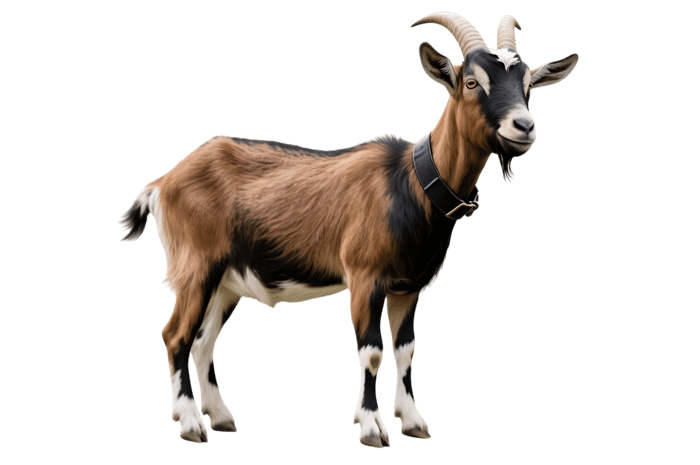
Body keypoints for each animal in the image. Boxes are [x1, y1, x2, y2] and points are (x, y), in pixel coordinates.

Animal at [118, 12, 578, 448]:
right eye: (470, 81)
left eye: (529, 84)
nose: (524, 126)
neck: (411, 183)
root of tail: (162, 183)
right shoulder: (365, 276)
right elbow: (372, 352)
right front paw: (372, 427)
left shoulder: (409, 287)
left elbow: (406, 351)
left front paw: (412, 421)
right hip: (195, 267)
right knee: (176, 335)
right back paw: (190, 423)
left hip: (226, 280)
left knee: (202, 340)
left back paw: (220, 416)